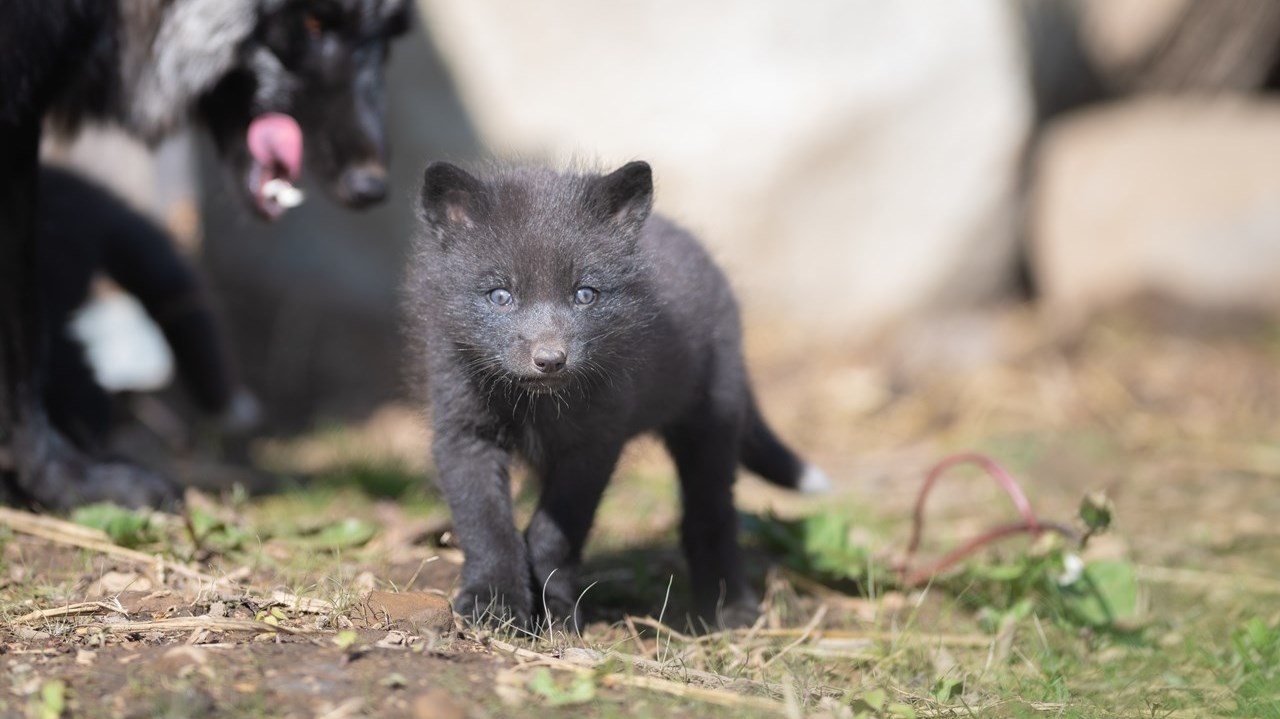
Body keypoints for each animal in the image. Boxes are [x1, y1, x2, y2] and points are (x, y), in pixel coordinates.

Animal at [406, 160, 829, 630]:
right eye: (499, 295)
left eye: (585, 294)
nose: (550, 360)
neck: (537, 406)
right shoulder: (464, 434)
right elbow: (486, 526)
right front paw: (494, 602)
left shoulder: (594, 445)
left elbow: (555, 534)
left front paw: (556, 610)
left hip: (712, 423)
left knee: (711, 516)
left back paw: (728, 607)